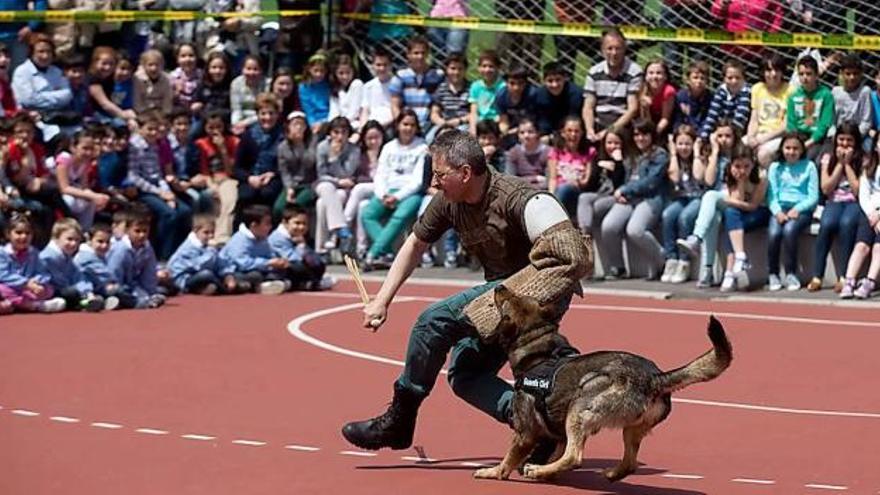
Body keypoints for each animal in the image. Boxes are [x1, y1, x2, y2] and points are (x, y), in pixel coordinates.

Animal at [478, 286, 732, 484]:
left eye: (506, 304)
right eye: (521, 295)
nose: (499, 286)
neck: (538, 345)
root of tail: (653, 378)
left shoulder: (525, 433)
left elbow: (509, 459)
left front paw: (493, 472)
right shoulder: (557, 434)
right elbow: (554, 451)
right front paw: (547, 472)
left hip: (581, 404)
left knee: (574, 457)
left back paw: (538, 469)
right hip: (631, 429)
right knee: (628, 463)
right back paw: (607, 474)